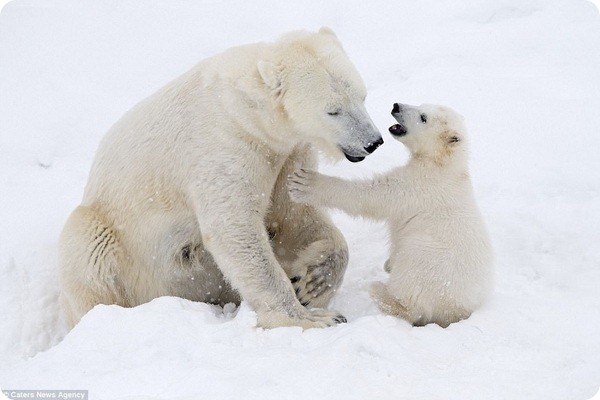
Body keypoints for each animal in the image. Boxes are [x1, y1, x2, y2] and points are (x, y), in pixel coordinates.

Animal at [58, 27, 382, 328]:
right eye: (333, 111)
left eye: (363, 96)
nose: (373, 142)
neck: (247, 108)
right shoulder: (223, 145)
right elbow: (234, 227)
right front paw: (311, 318)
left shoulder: (288, 153)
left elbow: (294, 212)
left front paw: (311, 282)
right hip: (110, 234)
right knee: (88, 251)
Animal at [290, 101, 492, 326]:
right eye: (422, 105)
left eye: (423, 117)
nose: (396, 106)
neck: (443, 165)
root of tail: (456, 312)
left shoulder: (419, 185)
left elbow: (374, 195)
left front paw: (305, 183)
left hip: (431, 262)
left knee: (412, 295)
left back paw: (380, 289)